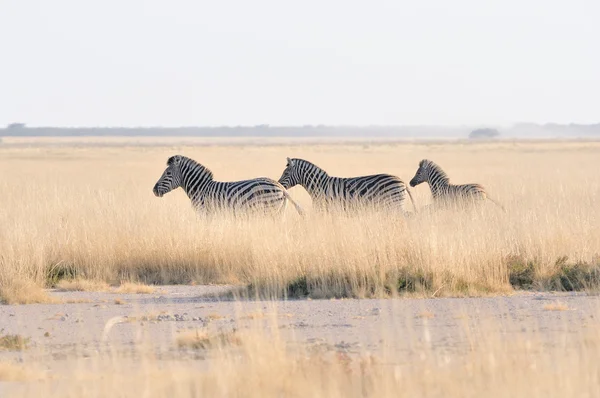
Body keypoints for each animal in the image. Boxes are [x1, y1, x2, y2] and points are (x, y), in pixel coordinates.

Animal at [152, 155, 302, 218]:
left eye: (168, 173)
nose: (154, 190)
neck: (199, 188)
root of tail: (280, 187)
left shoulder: (205, 212)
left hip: (268, 209)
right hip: (279, 212)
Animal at [278, 157, 414, 216]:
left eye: (286, 173)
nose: (279, 184)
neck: (320, 185)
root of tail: (402, 181)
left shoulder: (327, 208)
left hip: (394, 204)